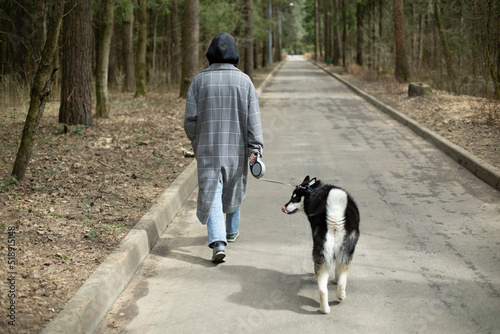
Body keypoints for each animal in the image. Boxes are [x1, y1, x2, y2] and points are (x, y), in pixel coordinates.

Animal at [282, 176, 360, 314]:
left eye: (295, 198)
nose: (284, 207)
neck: (314, 191)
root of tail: (335, 219)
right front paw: (335, 279)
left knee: (325, 288)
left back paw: (330, 305)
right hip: (342, 253)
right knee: (334, 283)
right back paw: (335, 301)